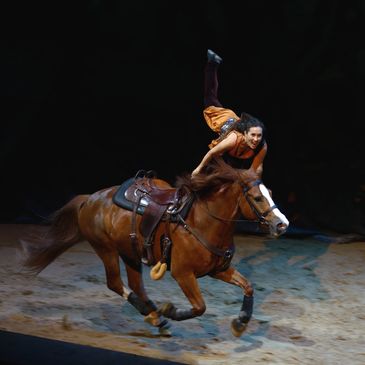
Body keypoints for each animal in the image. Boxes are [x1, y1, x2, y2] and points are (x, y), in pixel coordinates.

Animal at [19, 161, 288, 336]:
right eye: (257, 198)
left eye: (270, 192)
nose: (282, 224)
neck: (202, 221)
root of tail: (90, 198)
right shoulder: (183, 274)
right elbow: (199, 307)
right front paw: (170, 310)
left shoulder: (218, 269)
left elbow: (248, 285)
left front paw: (241, 321)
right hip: (105, 248)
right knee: (115, 283)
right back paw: (156, 315)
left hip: (129, 252)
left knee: (135, 285)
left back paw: (154, 316)